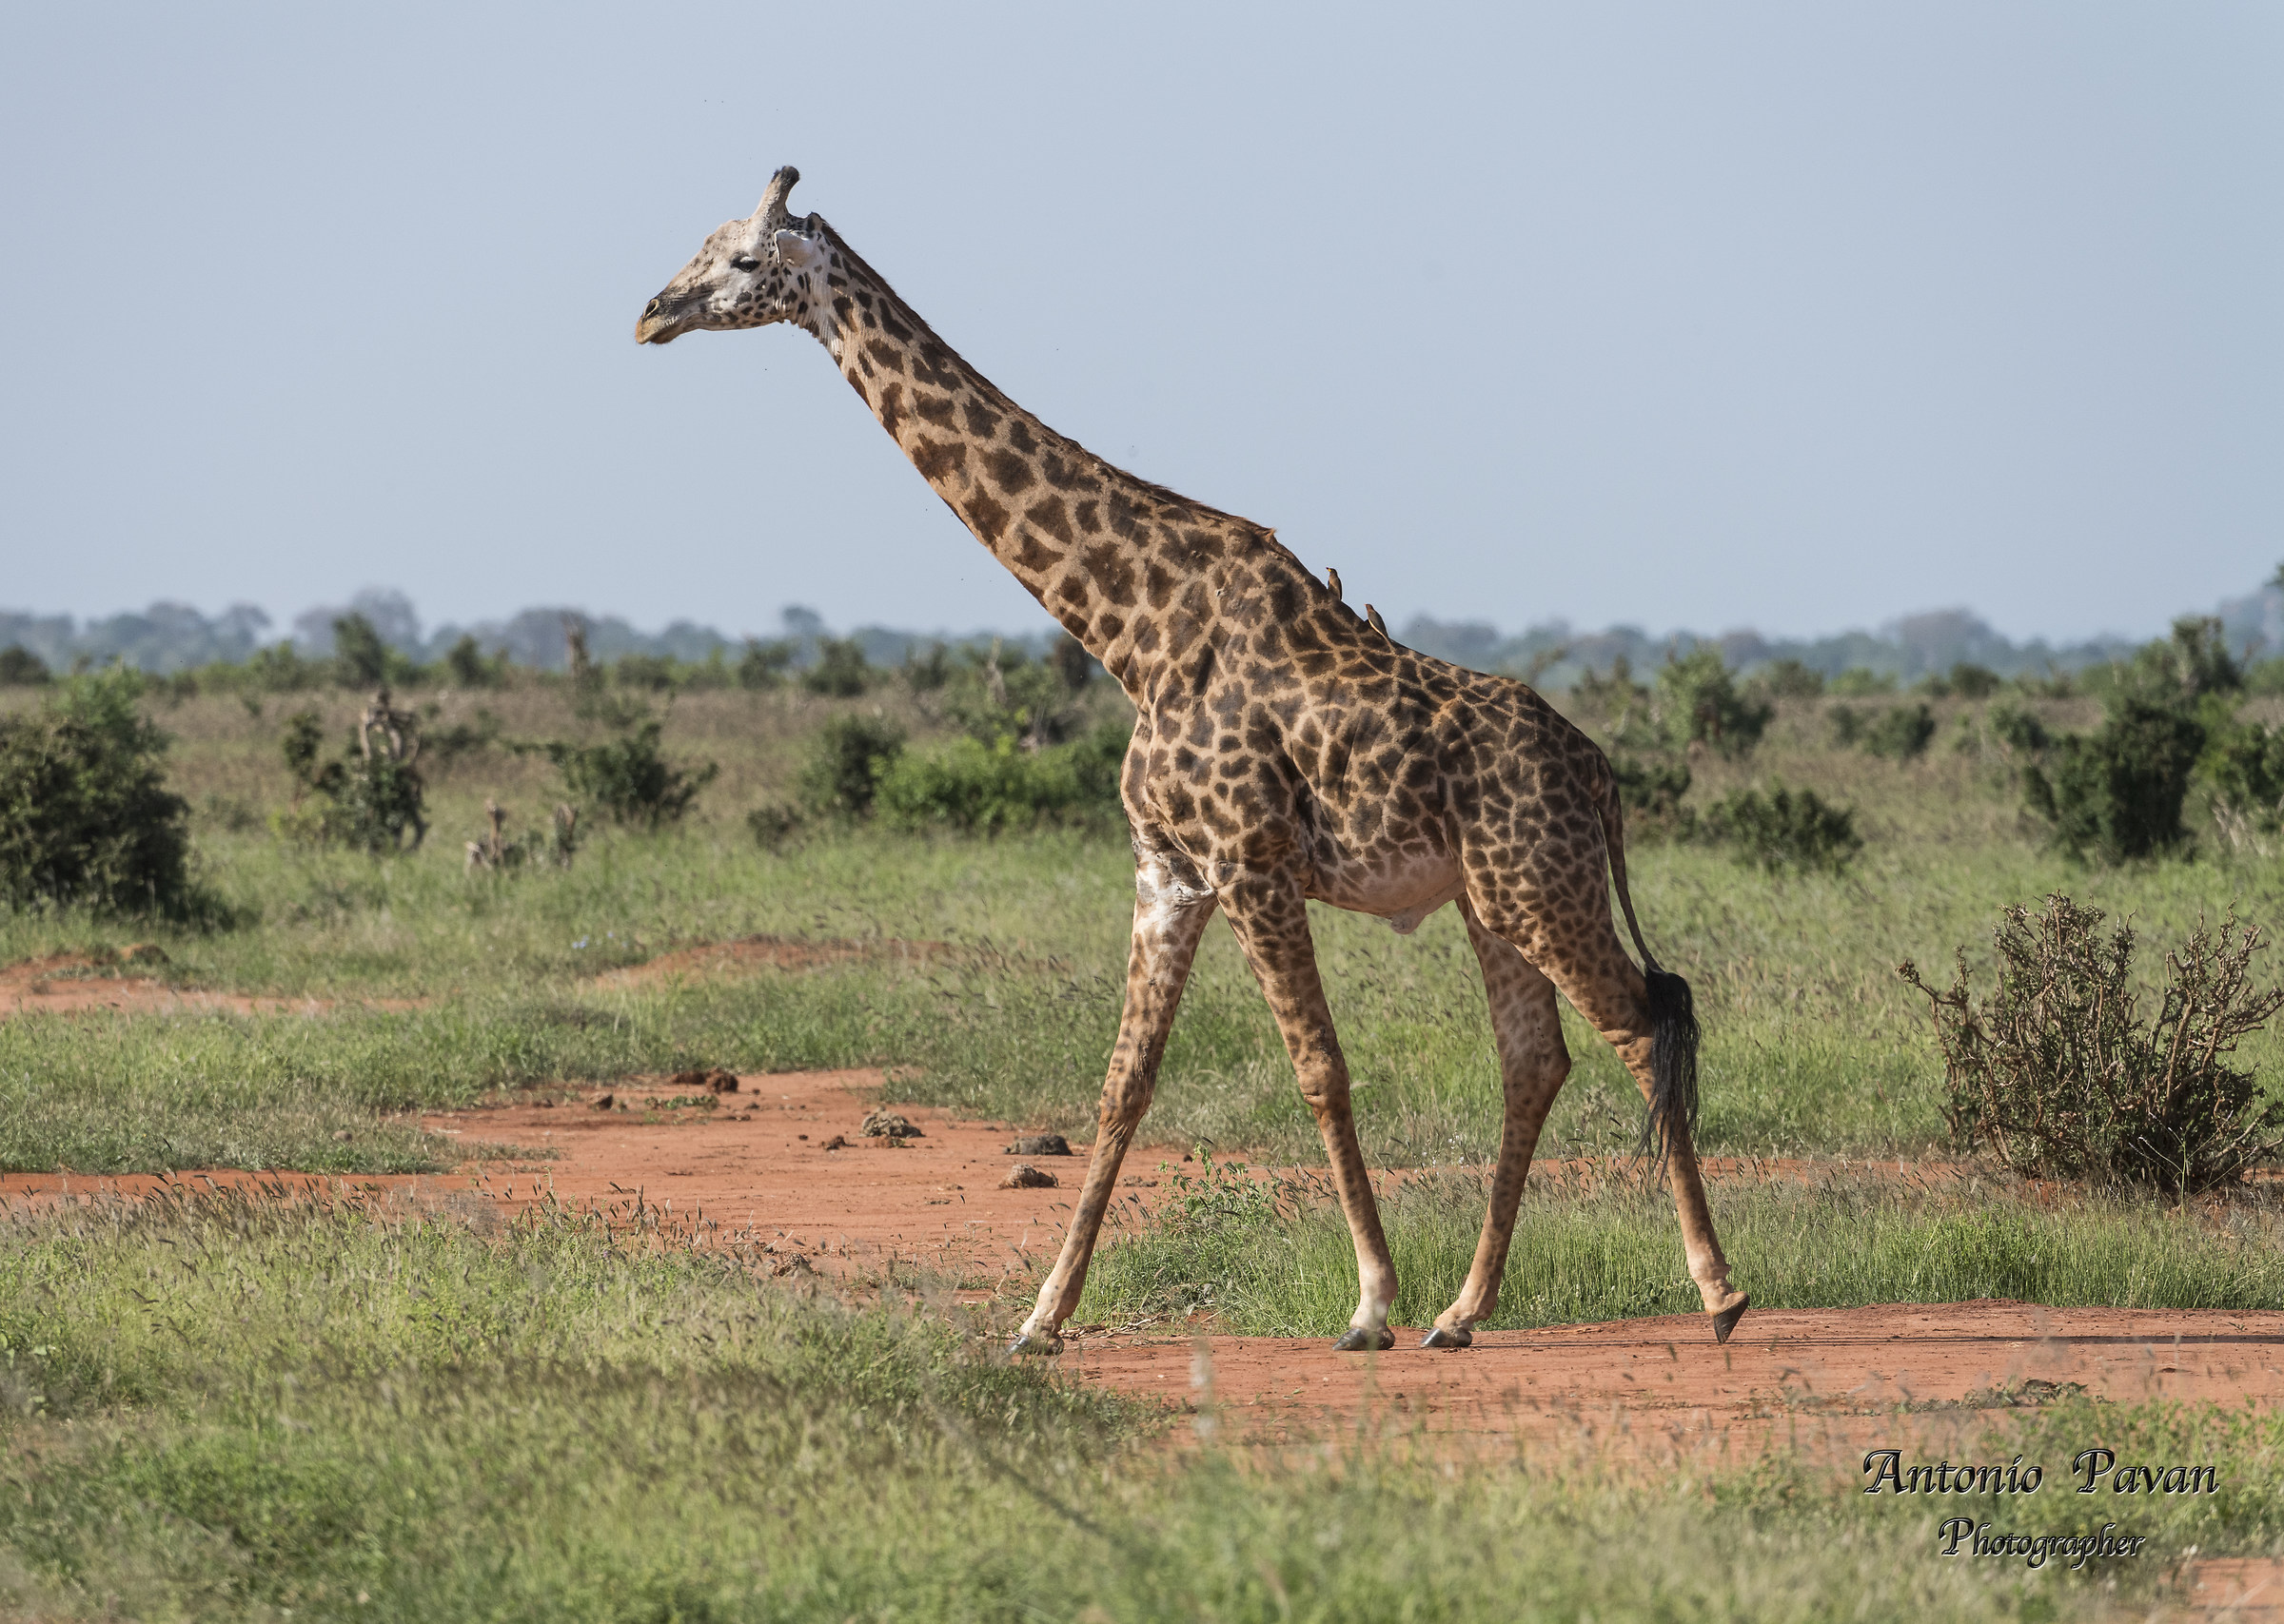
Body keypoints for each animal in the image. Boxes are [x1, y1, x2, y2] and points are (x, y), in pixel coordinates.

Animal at [638, 169, 1750, 1354]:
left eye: (744, 260)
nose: (652, 313)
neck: (1127, 629)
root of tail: (1602, 776)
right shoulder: (1166, 870)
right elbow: (1122, 1086)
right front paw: (1042, 1318)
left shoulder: (1249, 860)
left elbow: (1319, 1068)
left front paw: (1369, 1302)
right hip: (1490, 897)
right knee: (1537, 1059)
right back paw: (1464, 1312)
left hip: (1541, 884)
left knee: (1641, 1025)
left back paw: (1718, 1292)